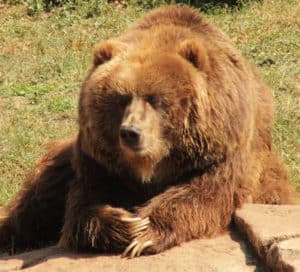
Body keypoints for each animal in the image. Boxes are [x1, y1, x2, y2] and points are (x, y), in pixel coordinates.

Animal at [0, 5, 296, 258]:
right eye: (120, 98)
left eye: (155, 99)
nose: (131, 132)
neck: (151, 168)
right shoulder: (98, 161)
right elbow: (83, 204)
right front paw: (126, 223)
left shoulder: (223, 150)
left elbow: (206, 192)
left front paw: (145, 232)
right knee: (35, 200)